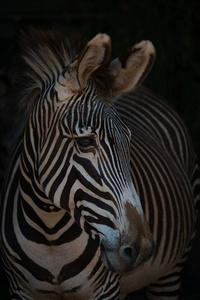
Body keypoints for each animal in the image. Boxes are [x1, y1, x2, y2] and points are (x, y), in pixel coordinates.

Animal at [0, 28, 198, 300]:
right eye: (85, 142)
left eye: (129, 141)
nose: (143, 249)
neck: (51, 236)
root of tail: (143, 90)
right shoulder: (19, 289)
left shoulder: (105, 290)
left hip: (170, 270)